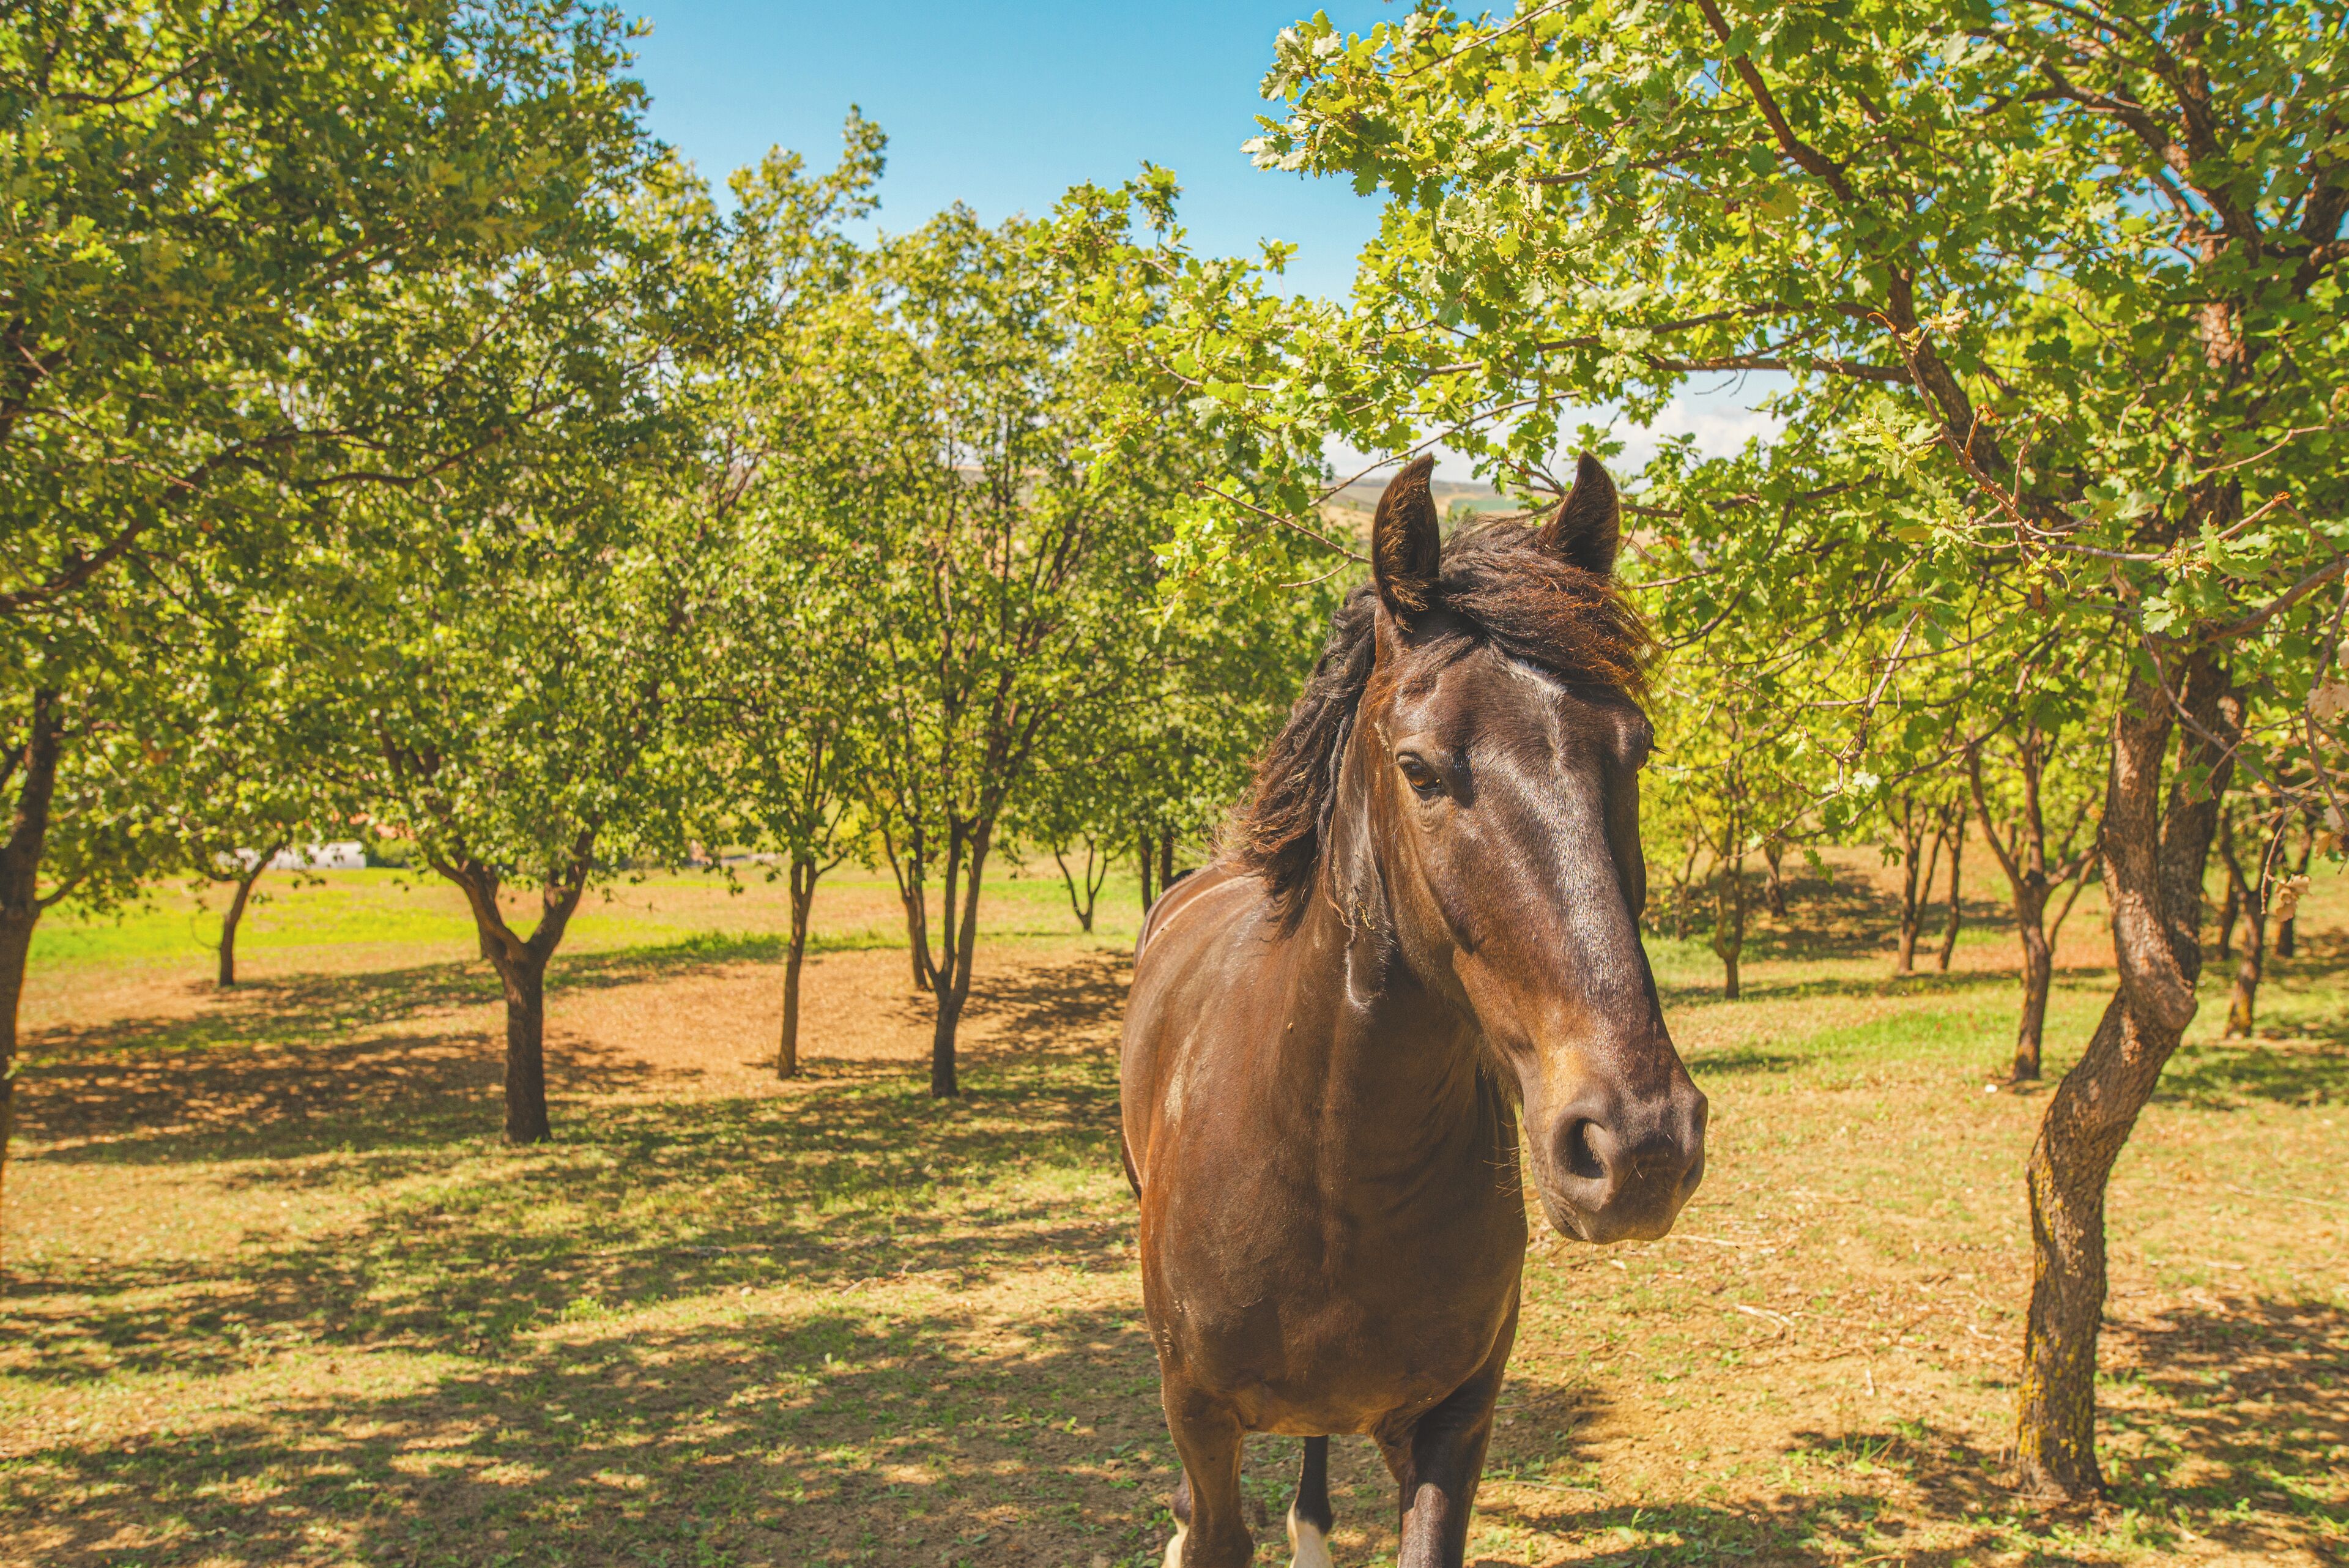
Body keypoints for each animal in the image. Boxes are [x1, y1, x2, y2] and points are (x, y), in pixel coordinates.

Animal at [1119, 453, 1708, 1568]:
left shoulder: (1452, 1425)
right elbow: (1211, 1520)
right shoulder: (1201, 1420)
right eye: (1420, 767)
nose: (1640, 1142)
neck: (1328, 1164)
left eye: (1638, 749)